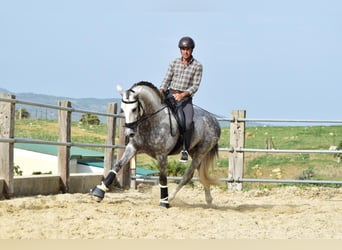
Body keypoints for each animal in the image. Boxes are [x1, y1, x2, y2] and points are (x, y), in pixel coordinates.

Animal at [90, 81, 222, 207]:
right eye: (122, 109)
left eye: (134, 109)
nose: (129, 133)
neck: (152, 121)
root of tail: (214, 120)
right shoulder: (133, 147)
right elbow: (117, 166)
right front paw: (99, 192)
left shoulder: (161, 154)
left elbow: (162, 178)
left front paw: (164, 202)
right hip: (193, 151)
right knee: (200, 173)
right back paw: (208, 199)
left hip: (201, 152)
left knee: (188, 175)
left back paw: (171, 197)